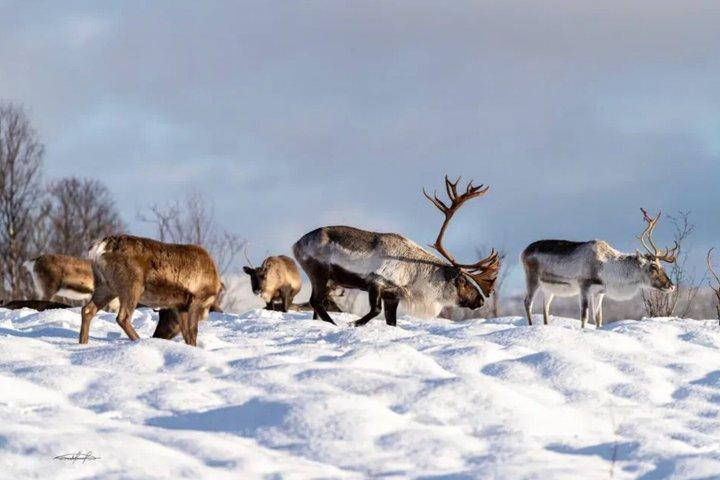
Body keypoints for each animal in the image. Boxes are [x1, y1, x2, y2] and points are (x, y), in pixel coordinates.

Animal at [79, 235, 222, 347]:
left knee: (87, 310)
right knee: (123, 317)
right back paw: (139, 341)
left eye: (165, 315)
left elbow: (187, 333)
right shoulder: (196, 299)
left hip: (105, 286)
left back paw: (83, 343)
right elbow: (192, 333)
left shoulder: (180, 305)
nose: (157, 335)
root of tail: (99, 249)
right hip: (132, 285)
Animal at [293, 176, 501, 327]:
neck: (414, 272)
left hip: (330, 281)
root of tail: (297, 244)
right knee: (315, 302)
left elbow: (391, 321)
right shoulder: (376, 282)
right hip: (319, 273)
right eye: (462, 280)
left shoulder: (392, 294)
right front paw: (354, 323)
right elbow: (375, 310)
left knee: (316, 305)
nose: (480, 301)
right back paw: (333, 324)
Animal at [521, 208, 677, 328]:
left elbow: (598, 318)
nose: (672, 286)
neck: (606, 267)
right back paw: (530, 326)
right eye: (653, 266)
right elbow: (584, 316)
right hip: (532, 279)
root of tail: (523, 252)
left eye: (661, 265)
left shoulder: (599, 292)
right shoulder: (584, 287)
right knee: (528, 302)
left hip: (549, 289)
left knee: (545, 307)